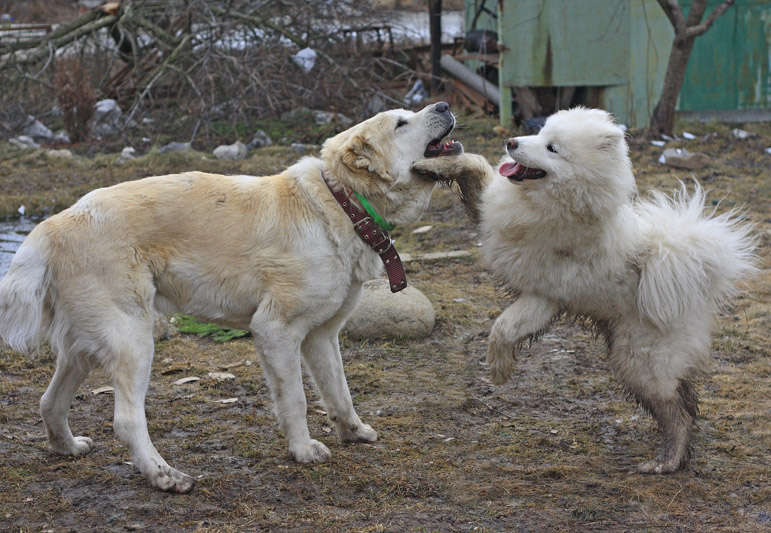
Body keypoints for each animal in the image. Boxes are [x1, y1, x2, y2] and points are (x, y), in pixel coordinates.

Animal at [0, 102, 458, 492]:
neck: (342, 202)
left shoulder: (322, 336)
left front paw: (353, 432)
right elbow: (296, 400)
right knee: (126, 421)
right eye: (401, 123)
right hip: (133, 339)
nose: (444, 105)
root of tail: (52, 225)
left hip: (85, 346)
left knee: (49, 402)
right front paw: (303, 450)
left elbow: (338, 392)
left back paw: (68, 448)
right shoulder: (275, 331)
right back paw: (164, 476)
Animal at [414, 106, 756, 472]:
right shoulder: (514, 253)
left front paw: (499, 367)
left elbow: (503, 328)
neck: (553, 203)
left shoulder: (546, 294)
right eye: (539, 133)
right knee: (686, 399)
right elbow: (472, 163)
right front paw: (431, 165)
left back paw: (668, 460)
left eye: (552, 148)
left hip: (638, 360)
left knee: (675, 410)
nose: (511, 142)